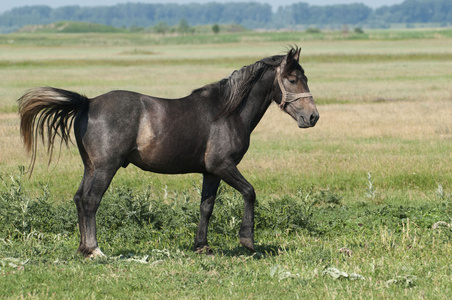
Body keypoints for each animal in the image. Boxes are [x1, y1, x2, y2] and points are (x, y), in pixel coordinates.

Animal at [17, 47, 320, 258]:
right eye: (293, 79)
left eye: (305, 78)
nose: (312, 117)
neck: (227, 112)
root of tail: (88, 102)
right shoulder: (223, 166)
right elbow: (250, 192)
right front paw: (247, 240)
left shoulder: (211, 172)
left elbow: (206, 207)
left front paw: (202, 246)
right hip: (105, 167)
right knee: (91, 201)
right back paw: (95, 250)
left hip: (90, 167)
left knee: (80, 199)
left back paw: (83, 249)